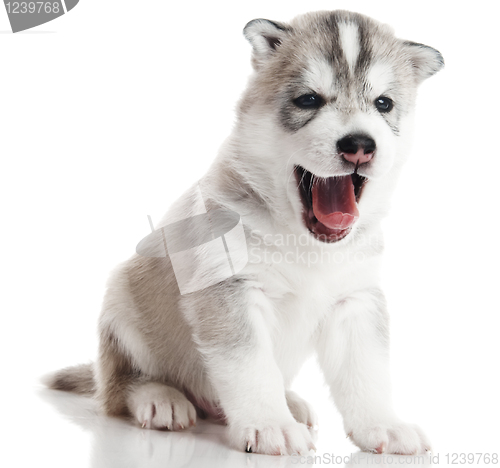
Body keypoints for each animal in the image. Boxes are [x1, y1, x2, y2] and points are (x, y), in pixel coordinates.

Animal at [47, 10, 444, 458]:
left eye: (383, 103)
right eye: (309, 100)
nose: (359, 144)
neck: (306, 243)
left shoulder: (355, 300)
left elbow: (367, 372)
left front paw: (383, 425)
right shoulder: (231, 289)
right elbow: (251, 367)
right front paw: (272, 425)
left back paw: (289, 402)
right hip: (121, 303)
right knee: (118, 389)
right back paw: (160, 398)